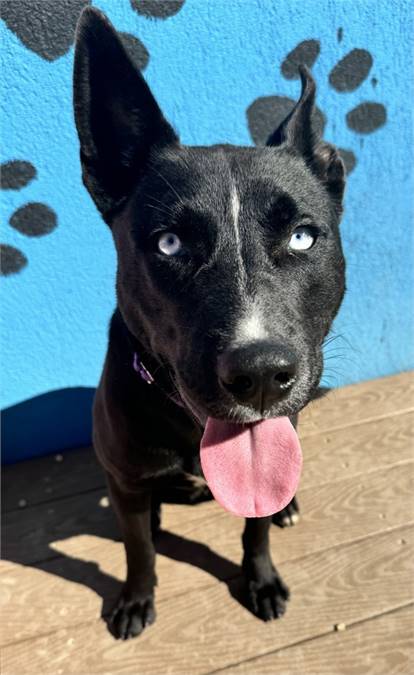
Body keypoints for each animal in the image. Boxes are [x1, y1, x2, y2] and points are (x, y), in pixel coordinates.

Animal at [72, 6, 346, 640]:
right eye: (169, 244)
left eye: (302, 236)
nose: (261, 374)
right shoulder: (124, 482)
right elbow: (137, 549)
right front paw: (135, 598)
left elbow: (256, 528)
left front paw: (261, 579)